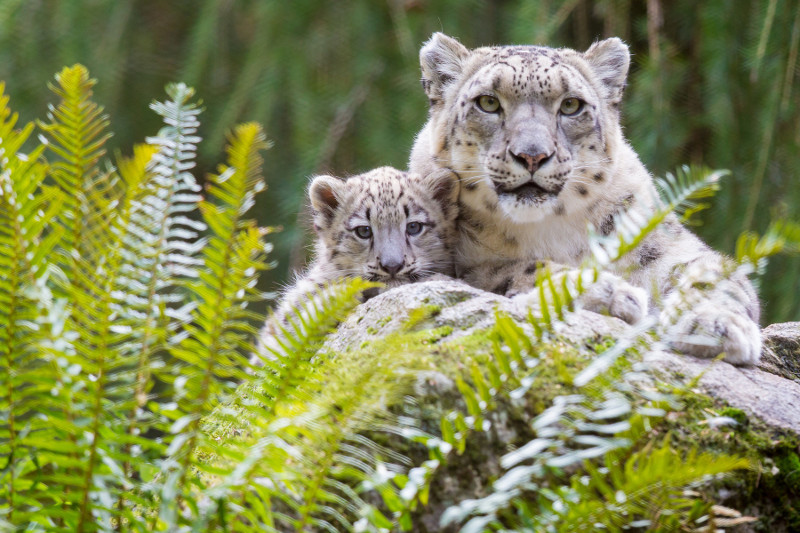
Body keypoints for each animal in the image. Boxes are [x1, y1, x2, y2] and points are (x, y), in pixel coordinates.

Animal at [408, 32, 761, 365]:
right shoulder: (459, 265)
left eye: (570, 105)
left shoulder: (665, 244)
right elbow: (523, 267)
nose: (532, 155)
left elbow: (714, 277)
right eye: (488, 102)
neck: (549, 229)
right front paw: (611, 292)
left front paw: (716, 324)